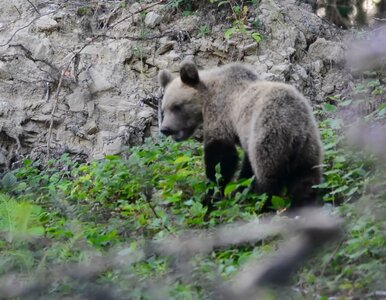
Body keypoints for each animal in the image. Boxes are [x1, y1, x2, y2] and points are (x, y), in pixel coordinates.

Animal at [157, 61, 322, 209]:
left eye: (177, 106)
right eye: (164, 109)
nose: (165, 129)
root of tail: (294, 123)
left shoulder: (222, 115)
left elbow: (221, 158)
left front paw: (212, 194)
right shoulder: (245, 134)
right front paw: (239, 187)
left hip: (270, 132)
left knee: (268, 174)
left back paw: (261, 202)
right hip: (308, 143)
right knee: (306, 176)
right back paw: (304, 204)